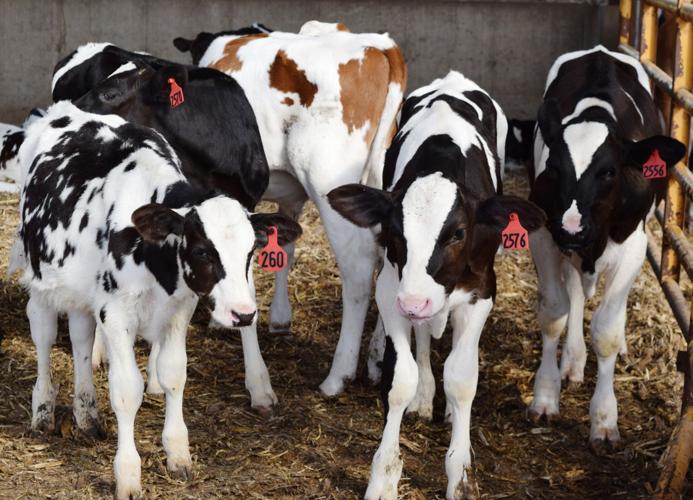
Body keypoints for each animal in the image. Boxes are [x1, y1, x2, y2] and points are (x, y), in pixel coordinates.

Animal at [17, 101, 300, 499]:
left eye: (250, 252)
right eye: (202, 250)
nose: (244, 314)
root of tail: (64, 110)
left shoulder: (179, 308)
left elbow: (173, 374)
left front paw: (178, 452)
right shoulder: (116, 313)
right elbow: (126, 390)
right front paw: (128, 473)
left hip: (81, 290)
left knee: (80, 338)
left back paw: (86, 413)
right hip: (42, 278)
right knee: (43, 335)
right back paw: (43, 408)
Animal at [173, 21, 407, 396]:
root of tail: (378, 43)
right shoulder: (288, 198)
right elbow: (284, 246)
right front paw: (278, 318)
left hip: (328, 180)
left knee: (358, 269)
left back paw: (337, 376)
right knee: (390, 256)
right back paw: (377, 359)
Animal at [327, 71, 546, 499]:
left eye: (458, 233)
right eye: (395, 231)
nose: (414, 302)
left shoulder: (482, 292)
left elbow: (461, 380)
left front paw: (460, 474)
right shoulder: (392, 288)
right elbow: (401, 378)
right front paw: (383, 477)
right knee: (425, 337)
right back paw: (426, 394)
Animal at [527, 46, 687, 450]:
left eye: (609, 171)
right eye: (554, 166)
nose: (572, 227)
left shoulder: (633, 246)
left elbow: (607, 331)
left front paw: (604, 418)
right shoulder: (545, 236)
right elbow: (555, 313)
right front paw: (545, 396)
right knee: (574, 295)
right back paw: (572, 361)